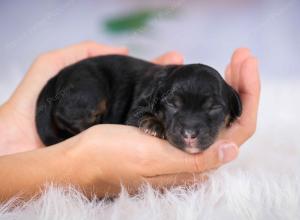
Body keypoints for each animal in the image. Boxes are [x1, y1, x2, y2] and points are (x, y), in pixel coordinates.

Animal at [35, 55, 241, 154]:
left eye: (214, 108)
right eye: (172, 104)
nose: (189, 134)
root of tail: (57, 77)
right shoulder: (138, 107)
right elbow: (141, 114)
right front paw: (154, 125)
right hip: (88, 89)